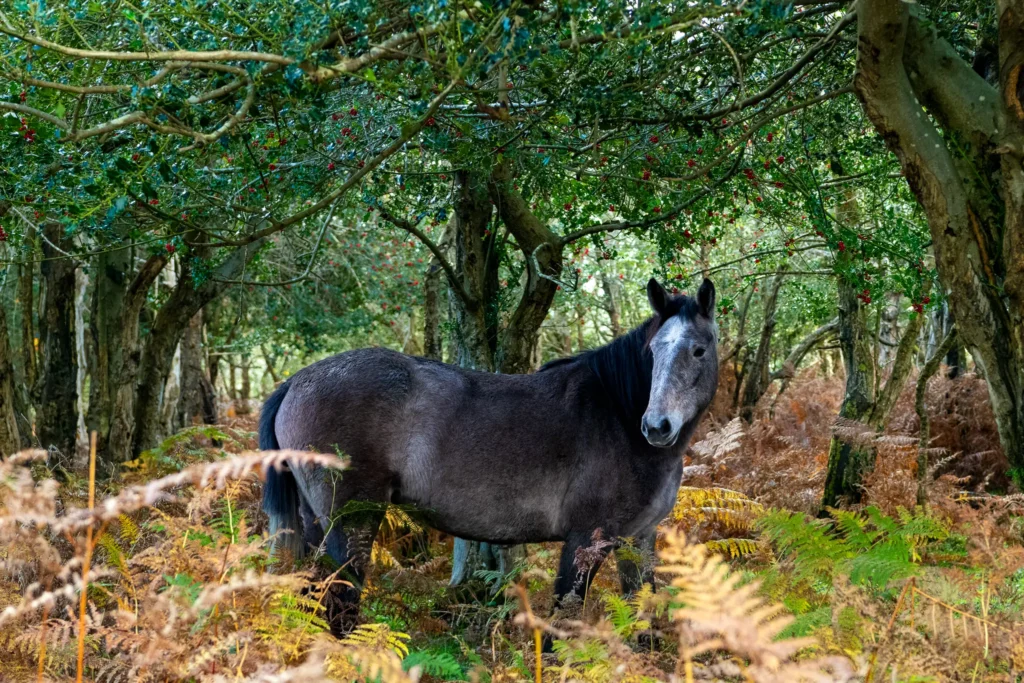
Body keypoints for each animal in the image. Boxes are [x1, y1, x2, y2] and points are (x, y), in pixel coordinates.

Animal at [260, 277, 719, 627]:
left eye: (699, 349)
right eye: (654, 351)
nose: (656, 426)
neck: (617, 413)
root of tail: (295, 381)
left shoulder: (638, 539)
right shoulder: (584, 539)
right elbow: (563, 624)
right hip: (350, 524)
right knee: (341, 605)